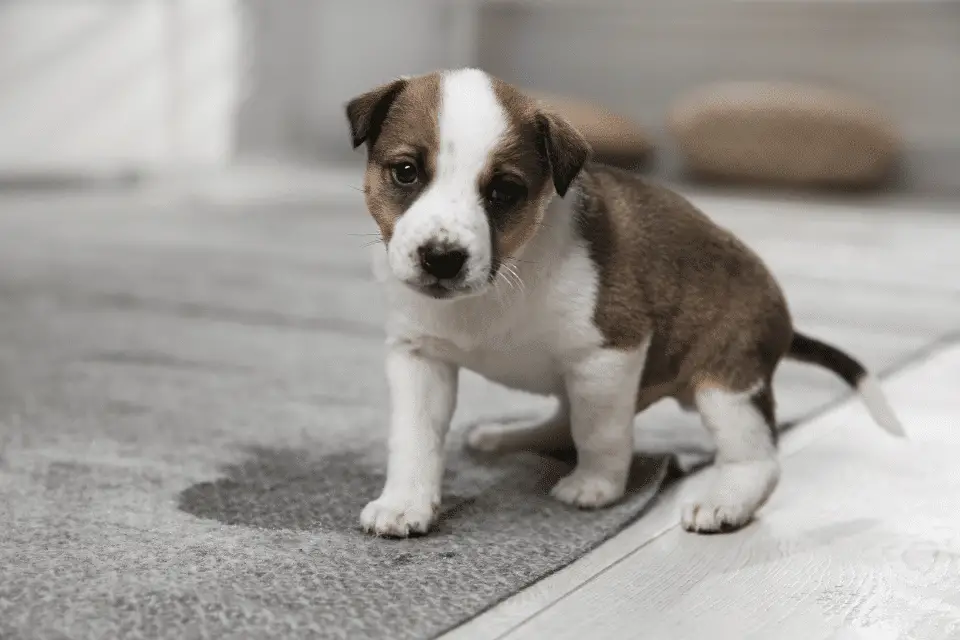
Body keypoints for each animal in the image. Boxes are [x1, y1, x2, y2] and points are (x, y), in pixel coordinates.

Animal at [346, 69, 908, 540]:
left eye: (504, 191)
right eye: (405, 171)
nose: (442, 258)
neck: (504, 279)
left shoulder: (609, 355)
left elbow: (600, 432)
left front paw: (596, 486)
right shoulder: (419, 357)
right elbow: (414, 439)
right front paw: (405, 502)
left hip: (726, 385)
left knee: (757, 458)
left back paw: (726, 500)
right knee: (561, 419)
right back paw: (508, 436)